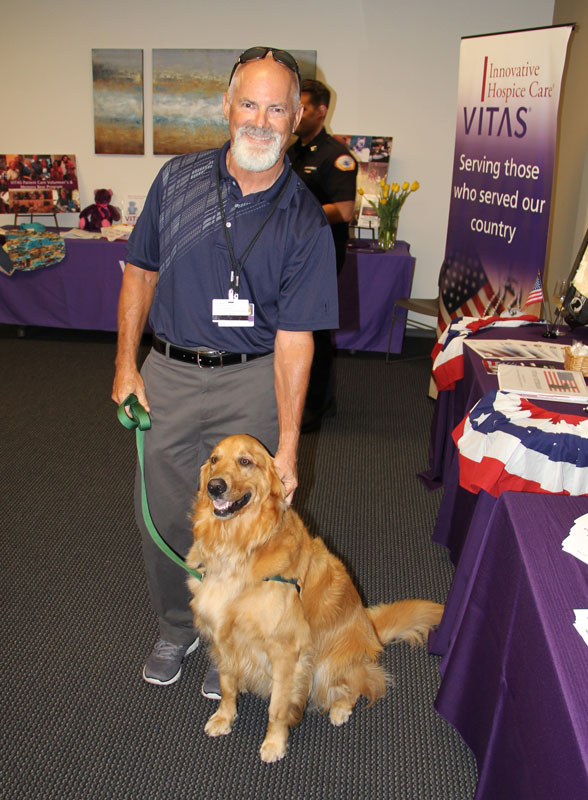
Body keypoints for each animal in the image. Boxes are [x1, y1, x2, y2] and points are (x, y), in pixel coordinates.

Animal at [186, 432, 444, 764]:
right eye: (214, 459)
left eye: (245, 461)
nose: (214, 486)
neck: (239, 547)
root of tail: (370, 630)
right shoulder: (224, 634)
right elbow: (227, 684)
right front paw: (224, 717)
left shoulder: (287, 651)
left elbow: (278, 707)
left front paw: (274, 743)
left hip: (327, 663)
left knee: (364, 683)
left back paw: (340, 709)